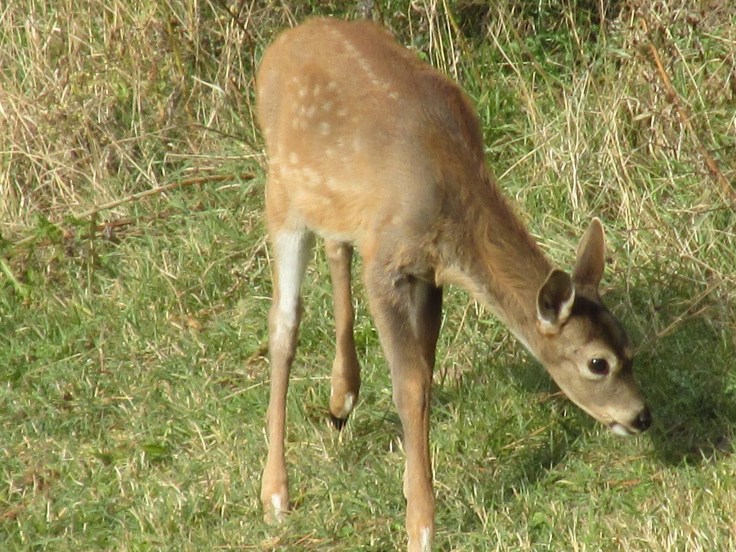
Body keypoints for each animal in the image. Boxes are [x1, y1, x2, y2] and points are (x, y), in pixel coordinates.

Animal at [255, 17, 651, 552]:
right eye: (597, 362)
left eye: (629, 346)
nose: (640, 415)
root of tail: (279, 45)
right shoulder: (387, 263)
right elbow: (410, 384)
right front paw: (421, 524)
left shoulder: (428, 270)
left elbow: (424, 368)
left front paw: (410, 484)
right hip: (281, 194)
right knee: (284, 323)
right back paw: (275, 493)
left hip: (331, 201)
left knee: (337, 250)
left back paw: (341, 398)